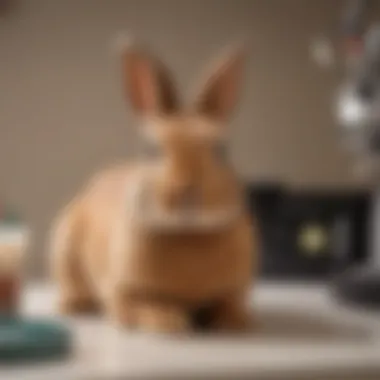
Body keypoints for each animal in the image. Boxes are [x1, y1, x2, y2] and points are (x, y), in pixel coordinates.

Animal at [49, 39, 260, 332]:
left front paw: (234, 322)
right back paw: (73, 306)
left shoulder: (235, 289)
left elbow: (228, 302)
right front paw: (169, 321)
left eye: (221, 151)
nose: (186, 192)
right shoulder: (121, 292)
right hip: (64, 250)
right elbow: (140, 306)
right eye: (152, 151)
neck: (187, 233)